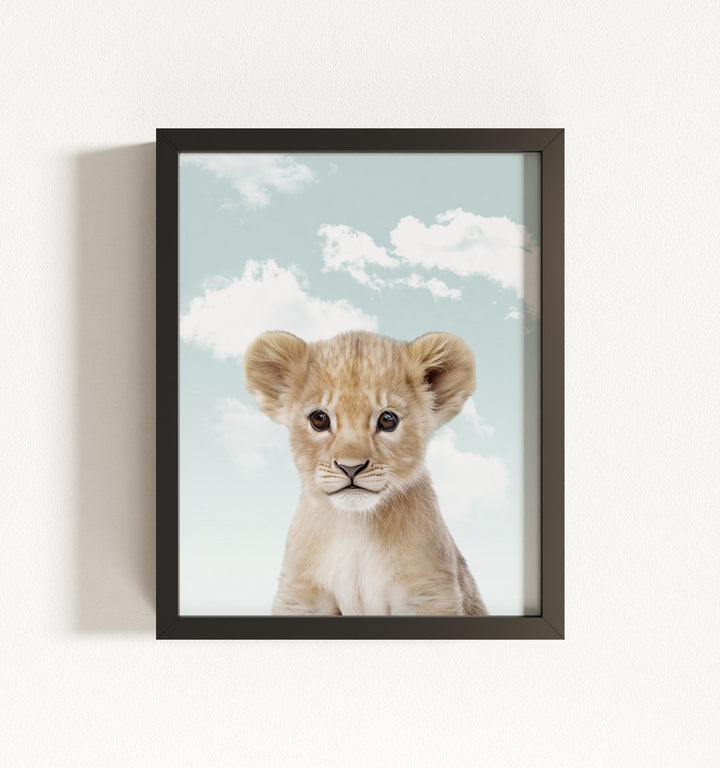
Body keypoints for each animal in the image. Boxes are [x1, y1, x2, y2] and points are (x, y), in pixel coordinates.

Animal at [244, 329, 488, 616]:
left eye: (388, 420)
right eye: (319, 419)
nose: (351, 467)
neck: (356, 526)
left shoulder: (429, 593)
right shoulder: (300, 596)